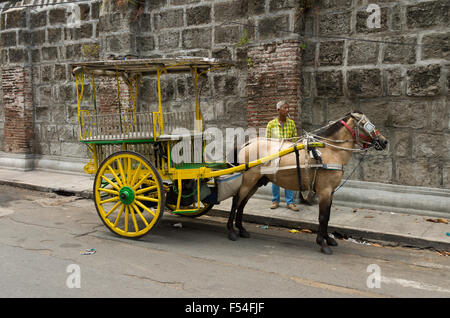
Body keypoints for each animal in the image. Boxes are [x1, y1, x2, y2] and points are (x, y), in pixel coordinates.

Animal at [227, 110, 388, 255]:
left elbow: (327, 216)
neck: (331, 150)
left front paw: (328, 239)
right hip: (248, 181)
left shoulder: (330, 192)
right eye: (367, 125)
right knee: (236, 201)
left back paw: (241, 229)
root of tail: (248, 144)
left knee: (242, 203)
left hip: (255, 182)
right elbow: (323, 216)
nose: (384, 141)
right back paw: (231, 231)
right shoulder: (324, 191)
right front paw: (322, 243)